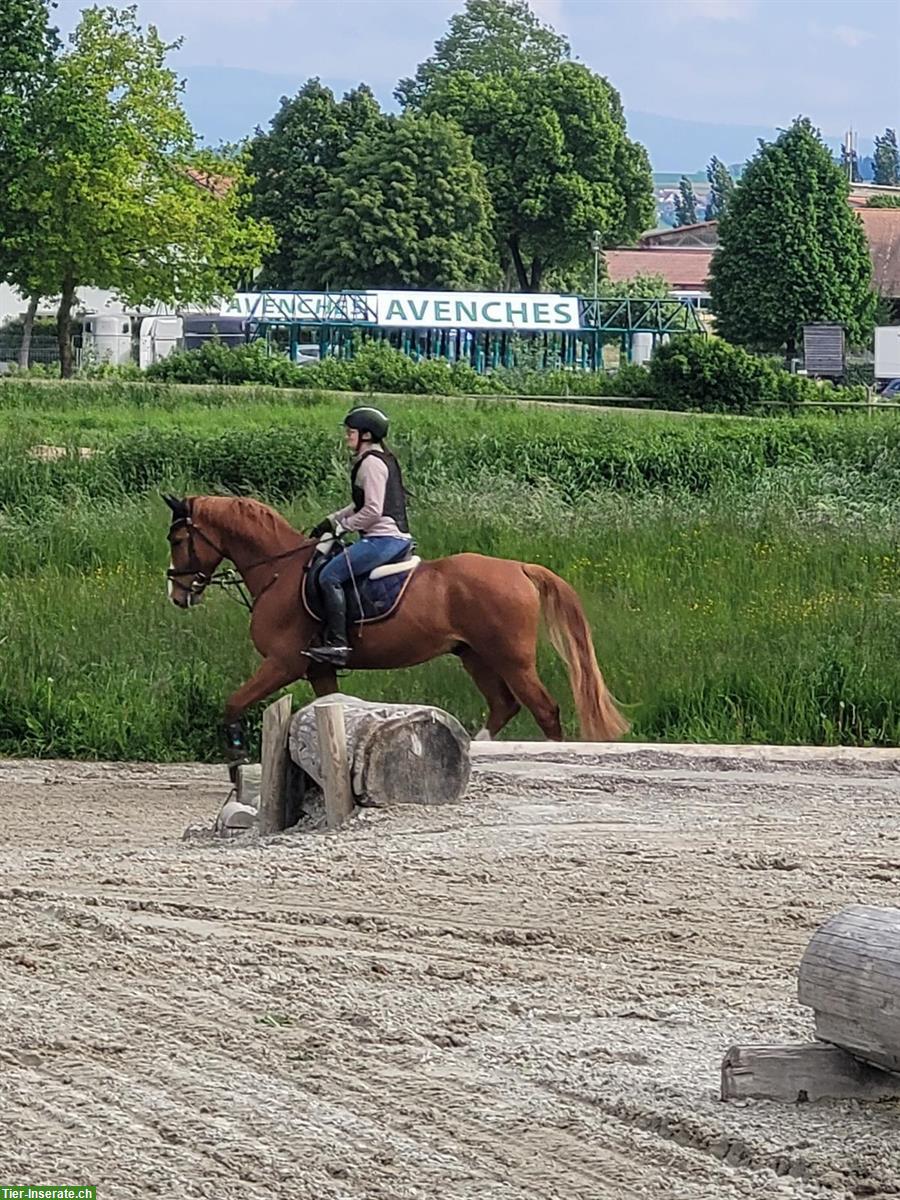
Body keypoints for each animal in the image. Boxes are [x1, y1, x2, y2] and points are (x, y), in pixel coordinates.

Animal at [162, 489, 628, 758]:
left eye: (178, 539)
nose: (177, 594)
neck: (280, 570)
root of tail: (518, 567)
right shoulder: (318, 668)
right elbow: (329, 710)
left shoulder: (283, 663)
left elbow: (233, 704)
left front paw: (237, 758)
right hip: (474, 655)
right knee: (504, 705)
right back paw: (477, 747)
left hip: (511, 659)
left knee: (544, 710)